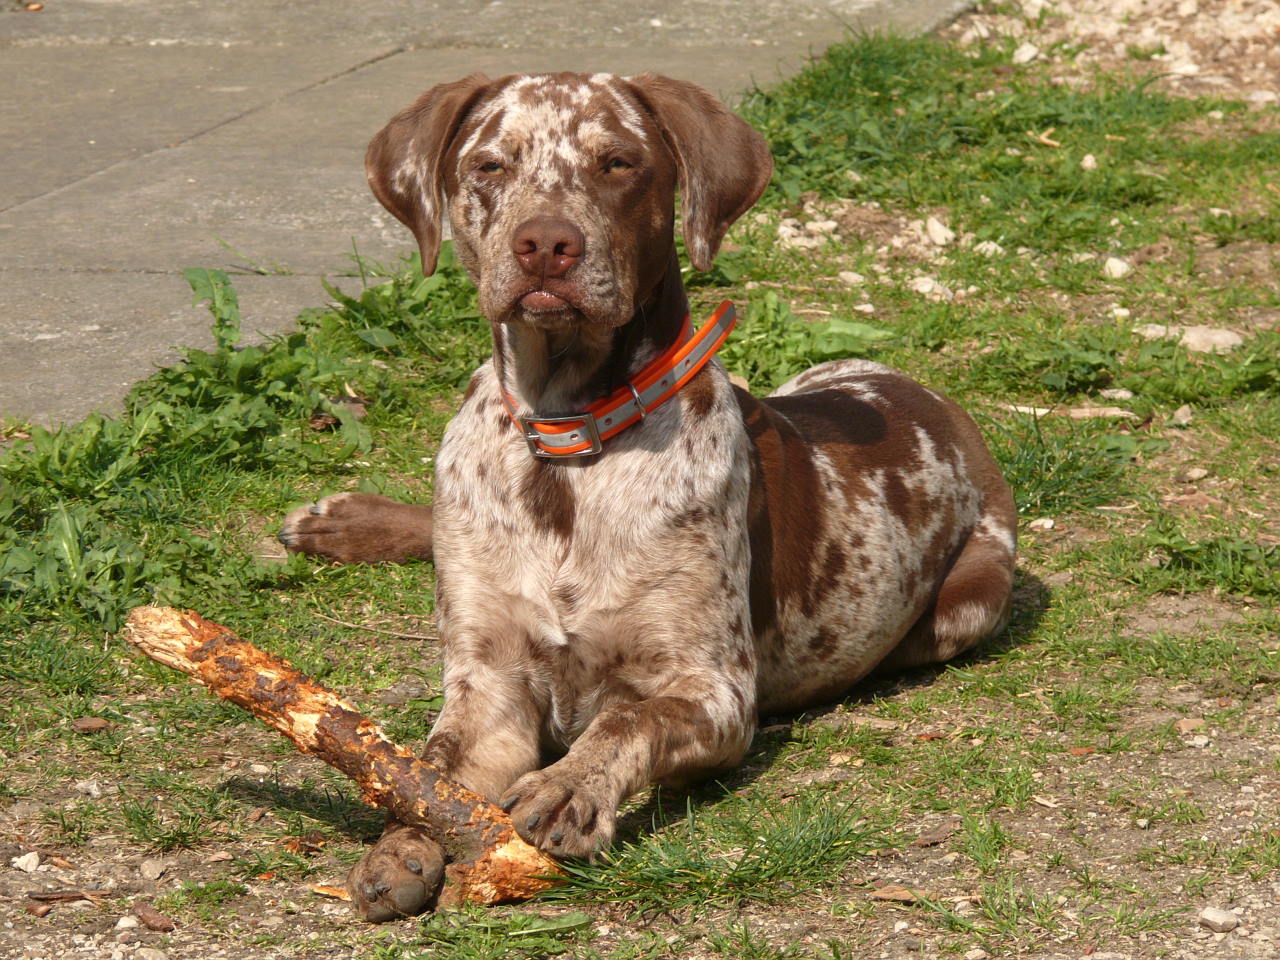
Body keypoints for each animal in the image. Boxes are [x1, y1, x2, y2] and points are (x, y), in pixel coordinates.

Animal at [275, 69, 1013, 926]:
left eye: (618, 163)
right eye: (489, 165)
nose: (546, 244)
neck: (567, 440)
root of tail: (946, 408)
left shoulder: (714, 689)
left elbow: (629, 716)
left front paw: (569, 787)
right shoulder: (487, 682)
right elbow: (428, 766)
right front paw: (401, 843)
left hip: (968, 605)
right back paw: (343, 521)